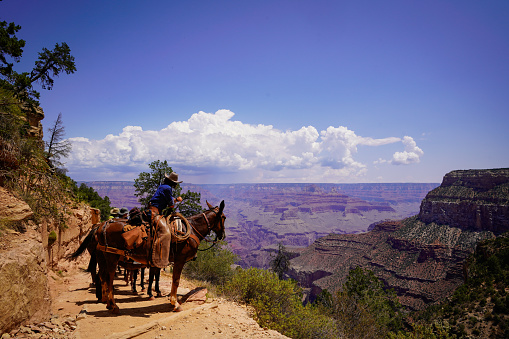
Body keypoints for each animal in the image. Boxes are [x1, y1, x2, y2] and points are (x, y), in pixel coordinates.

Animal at [79, 201, 224, 314]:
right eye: (224, 217)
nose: (222, 234)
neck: (189, 230)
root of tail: (101, 226)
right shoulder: (179, 260)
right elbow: (175, 280)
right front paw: (174, 303)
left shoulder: (158, 262)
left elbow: (156, 277)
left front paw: (155, 293)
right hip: (111, 257)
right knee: (108, 278)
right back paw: (113, 305)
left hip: (102, 258)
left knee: (102, 276)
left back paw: (106, 302)